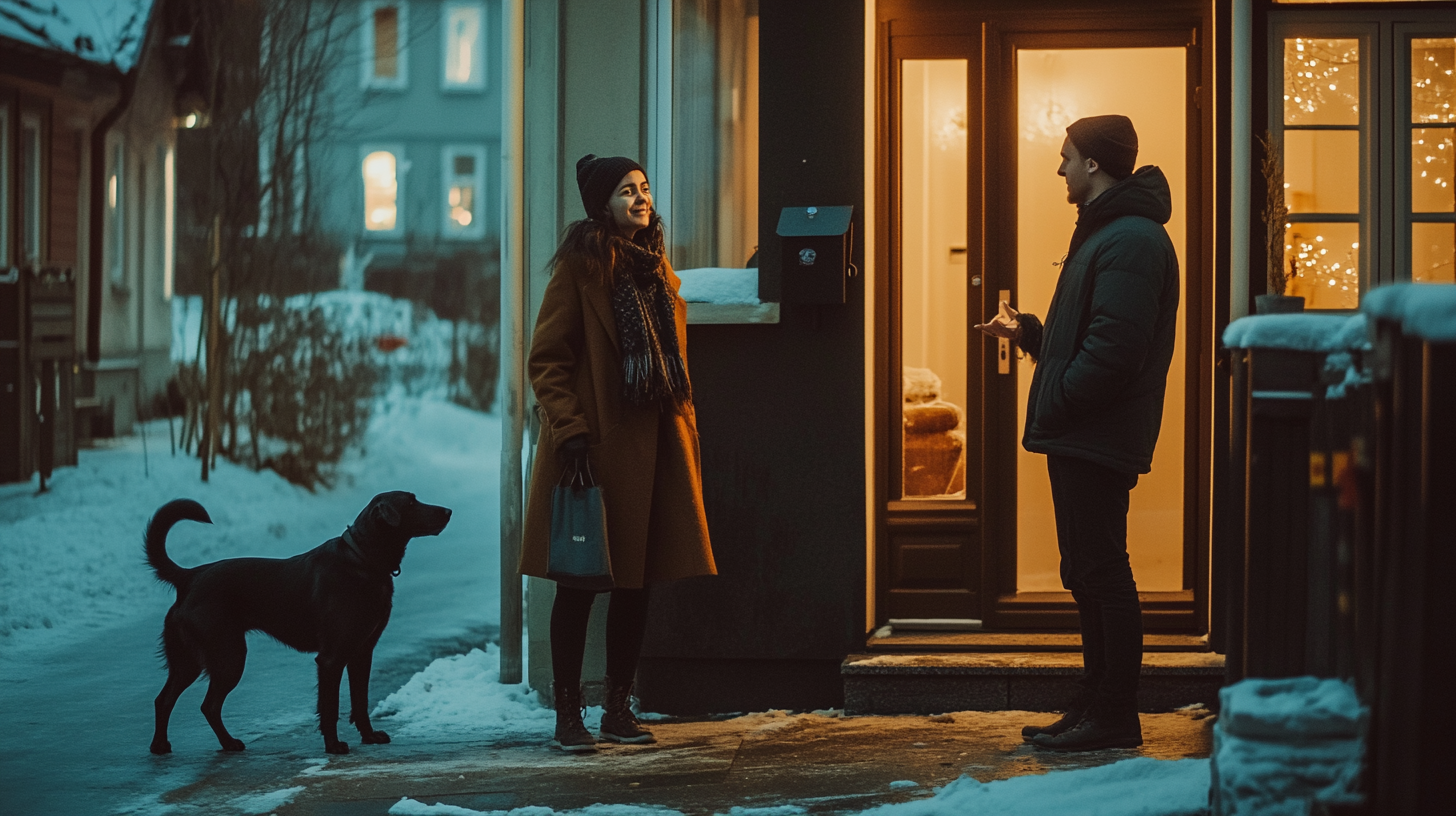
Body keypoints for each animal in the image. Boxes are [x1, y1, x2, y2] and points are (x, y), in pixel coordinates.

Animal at [146, 489, 448, 751]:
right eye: (411, 503)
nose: (448, 511)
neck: (362, 559)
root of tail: (189, 576)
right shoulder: (331, 659)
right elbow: (330, 706)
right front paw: (333, 746)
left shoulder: (362, 652)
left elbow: (360, 701)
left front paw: (369, 737)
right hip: (228, 656)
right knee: (207, 705)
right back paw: (227, 743)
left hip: (189, 661)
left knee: (164, 699)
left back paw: (163, 746)